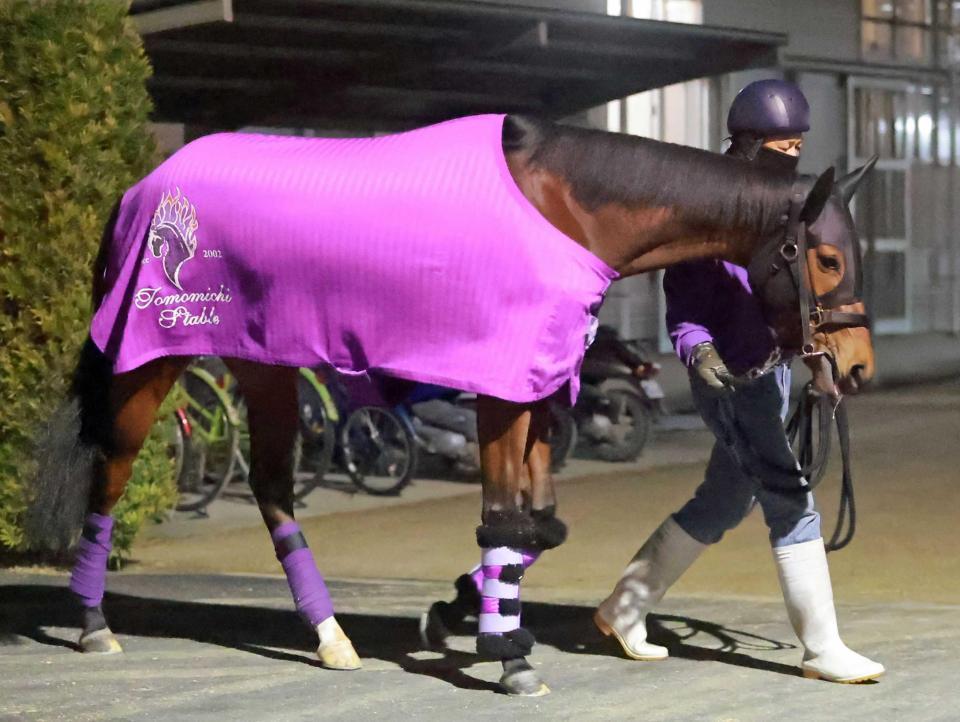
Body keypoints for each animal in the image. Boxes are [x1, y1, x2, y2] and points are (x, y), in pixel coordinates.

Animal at [24, 113, 875, 697]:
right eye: (829, 257)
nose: (858, 366)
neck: (562, 206)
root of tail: (142, 188)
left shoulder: (537, 388)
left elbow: (538, 525)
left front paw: (466, 613)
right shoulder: (502, 393)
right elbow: (506, 518)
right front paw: (507, 656)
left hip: (263, 362)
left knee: (271, 490)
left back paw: (331, 637)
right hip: (152, 359)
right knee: (110, 476)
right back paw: (93, 624)